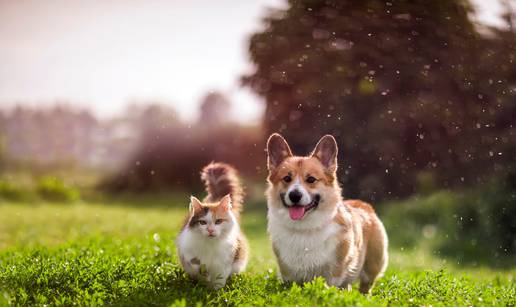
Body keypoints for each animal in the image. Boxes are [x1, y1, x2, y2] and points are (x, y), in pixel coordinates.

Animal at [176, 162, 249, 290]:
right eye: (203, 222)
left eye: (218, 221)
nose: (210, 230)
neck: (210, 245)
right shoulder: (186, 250)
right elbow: (195, 264)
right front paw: (204, 280)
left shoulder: (224, 262)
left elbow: (219, 279)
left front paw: (215, 291)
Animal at [266, 134, 388, 294]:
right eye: (287, 178)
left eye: (311, 179)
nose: (294, 195)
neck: (304, 227)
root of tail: (363, 205)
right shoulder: (288, 272)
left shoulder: (334, 271)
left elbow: (330, 286)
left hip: (372, 265)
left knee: (366, 286)